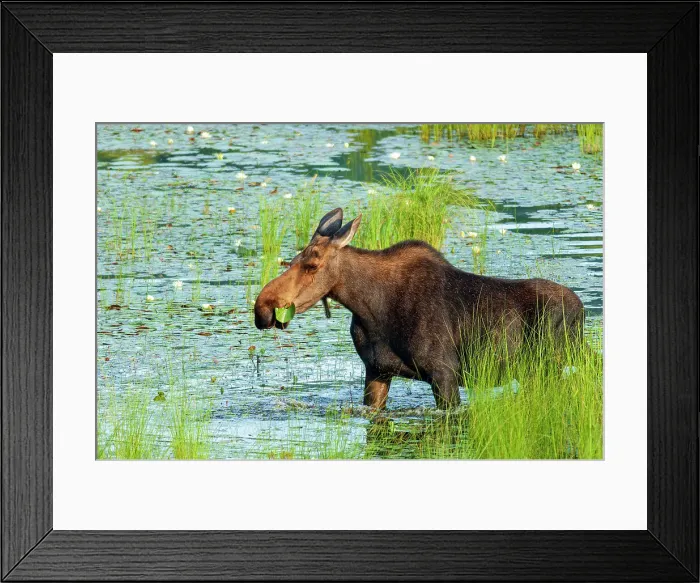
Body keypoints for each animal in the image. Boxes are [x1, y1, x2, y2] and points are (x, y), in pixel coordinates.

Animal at [254, 208, 585, 409]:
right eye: (291, 260)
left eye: (311, 264)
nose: (263, 307)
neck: (370, 310)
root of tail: (581, 312)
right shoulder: (376, 371)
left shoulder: (444, 375)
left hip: (551, 364)